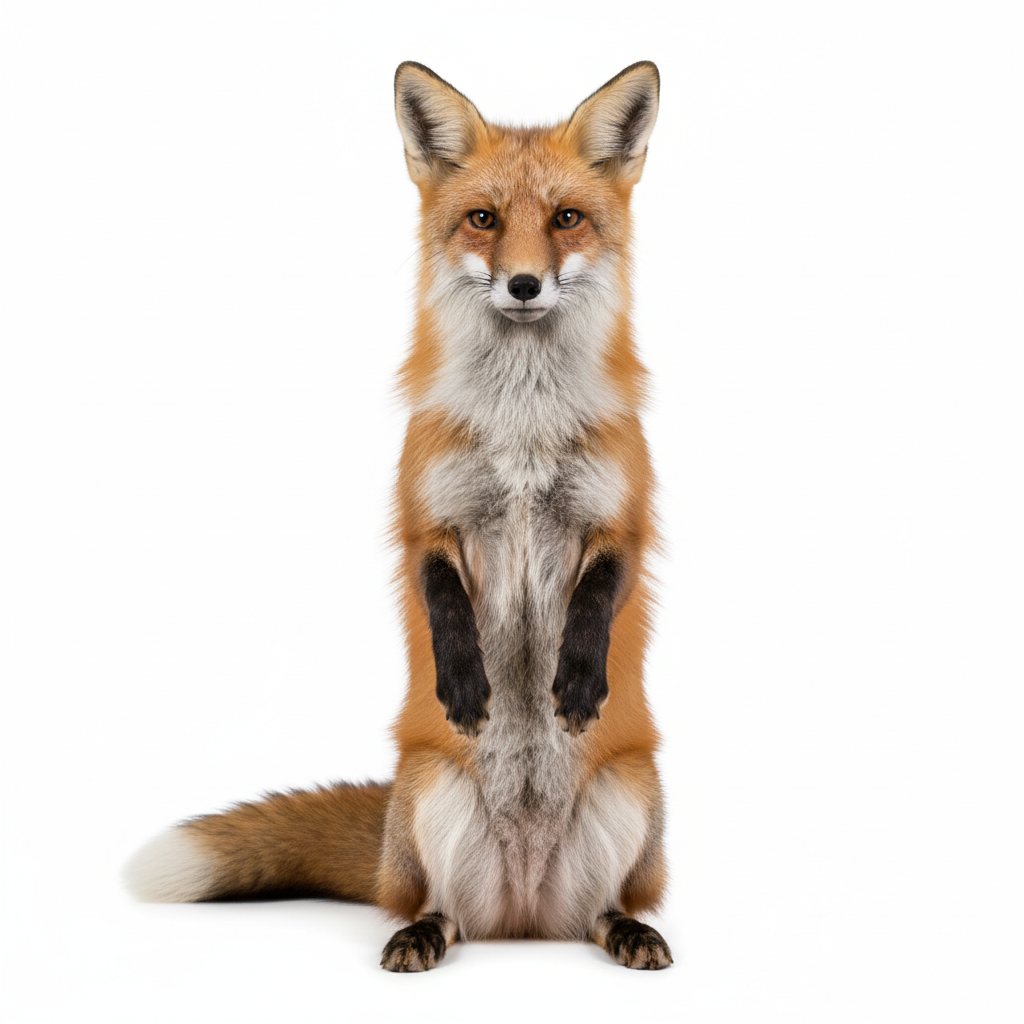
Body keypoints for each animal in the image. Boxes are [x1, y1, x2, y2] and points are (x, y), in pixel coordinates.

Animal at [124, 60, 672, 972]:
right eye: (483, 219)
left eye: (567, 218)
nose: (524, 284)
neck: (522, 430)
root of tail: (523, 918)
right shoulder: (426, 515)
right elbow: (441, 594)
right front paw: (464, 682)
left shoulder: (622, 518)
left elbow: (599, 593)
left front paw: (575, 677)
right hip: (429, 800)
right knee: (435, 907)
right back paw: (421, 934)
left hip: (628, 799)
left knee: (604, 907)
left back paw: (627, 929)